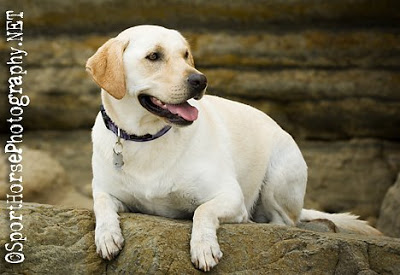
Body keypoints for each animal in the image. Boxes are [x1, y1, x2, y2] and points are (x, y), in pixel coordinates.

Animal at [86, 24, 380, 272]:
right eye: (154, 56)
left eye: (186, 55)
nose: (200, 80)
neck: (146, 137)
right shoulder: (107, 191)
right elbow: (100, 203)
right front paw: (107, 236)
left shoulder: (230, 196)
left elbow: (202, 211)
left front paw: (204, 247)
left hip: (278, 178)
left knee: (284, 223)